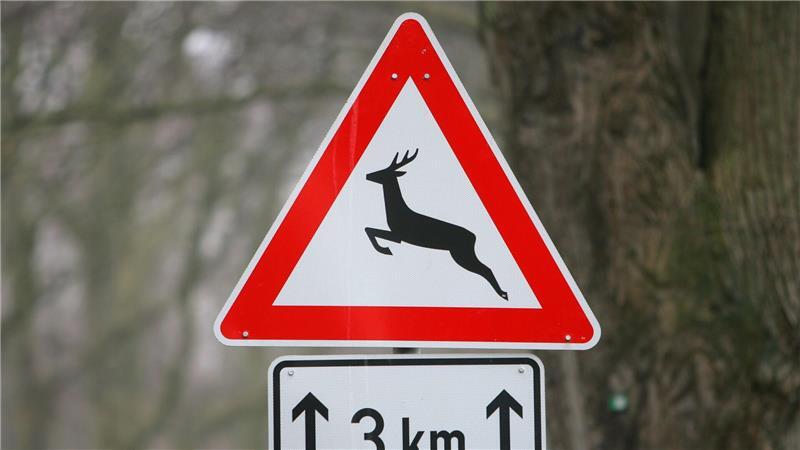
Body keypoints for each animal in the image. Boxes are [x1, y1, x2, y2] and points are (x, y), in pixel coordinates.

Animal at [365, 148, 508, 300]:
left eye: (383, 172)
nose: (367, 175)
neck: (398, 211)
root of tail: (474, 237)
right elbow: (369, 229)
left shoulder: (398, 235)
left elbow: (370, 230)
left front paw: (385, 249)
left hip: (462, 254)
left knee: (486, 269)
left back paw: (503, 294)